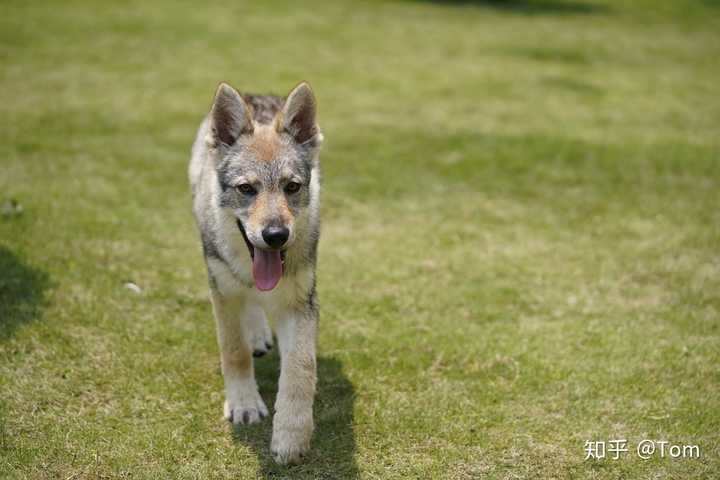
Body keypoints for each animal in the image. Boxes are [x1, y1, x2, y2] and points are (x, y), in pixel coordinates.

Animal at [190, 80, 324, 464]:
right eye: (247, 189)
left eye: (291, 187)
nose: (276, 235)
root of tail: (256, 92)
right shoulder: (221, 290)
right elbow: (234, 351)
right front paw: (244, 406)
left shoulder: (300, 302)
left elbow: (300, 369)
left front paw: (291, 437)